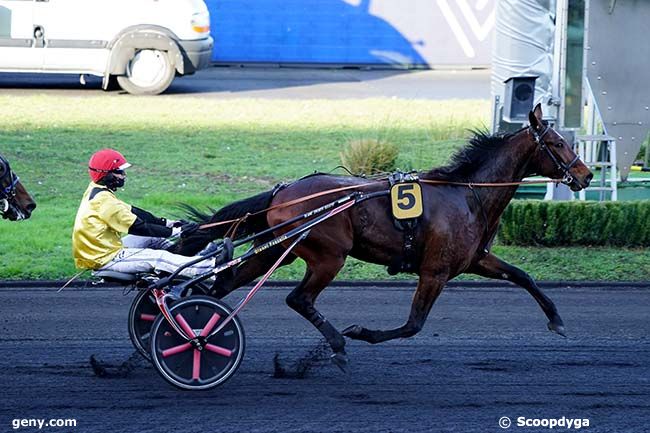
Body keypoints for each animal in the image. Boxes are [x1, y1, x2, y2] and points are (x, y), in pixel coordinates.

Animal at [171, 104, 592, 368]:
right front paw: (360, 332)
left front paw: (557, 320)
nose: (585, 175)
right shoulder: (435, 271)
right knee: (298, 298)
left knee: (221, 287)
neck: (466, 193)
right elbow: (413, 325)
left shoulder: (475, 259)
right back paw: (337, 345)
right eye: (558, 143)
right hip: (328, 255)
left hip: (275, 251)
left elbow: (523, 276)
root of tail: (283, 190)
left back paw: (193, 328)